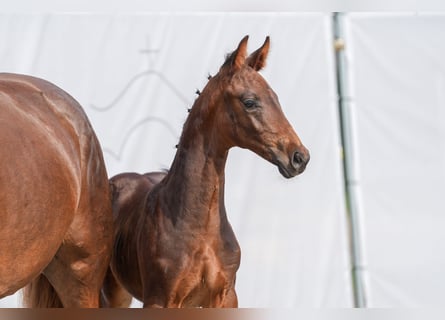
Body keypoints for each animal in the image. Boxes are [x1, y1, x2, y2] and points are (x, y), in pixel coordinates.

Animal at [100, 35, 308, 308]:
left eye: (276, 98)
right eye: (249, 102)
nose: (300, 157)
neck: (200, 227)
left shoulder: (225, 297)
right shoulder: (161, 300)